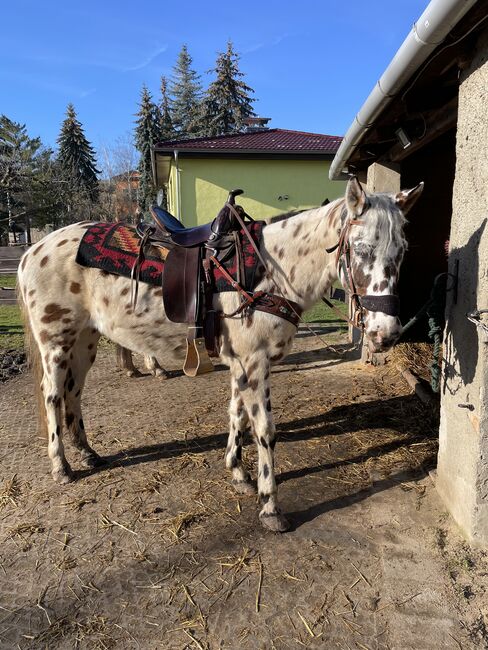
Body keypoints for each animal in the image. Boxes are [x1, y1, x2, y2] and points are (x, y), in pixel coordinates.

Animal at [18, 175, 424, 528]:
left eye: (402, 251)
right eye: (361, 249)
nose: (386, 333)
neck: (271, 271)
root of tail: (31, 251)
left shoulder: (242, 363)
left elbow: (237, 416)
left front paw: (238, 472)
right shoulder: (255, 362)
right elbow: (264, 429)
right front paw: (270, 506)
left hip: (85, 340)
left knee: (74, 392)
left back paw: (88, 453)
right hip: (56, 342)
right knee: (53, 395)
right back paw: (62, 467)